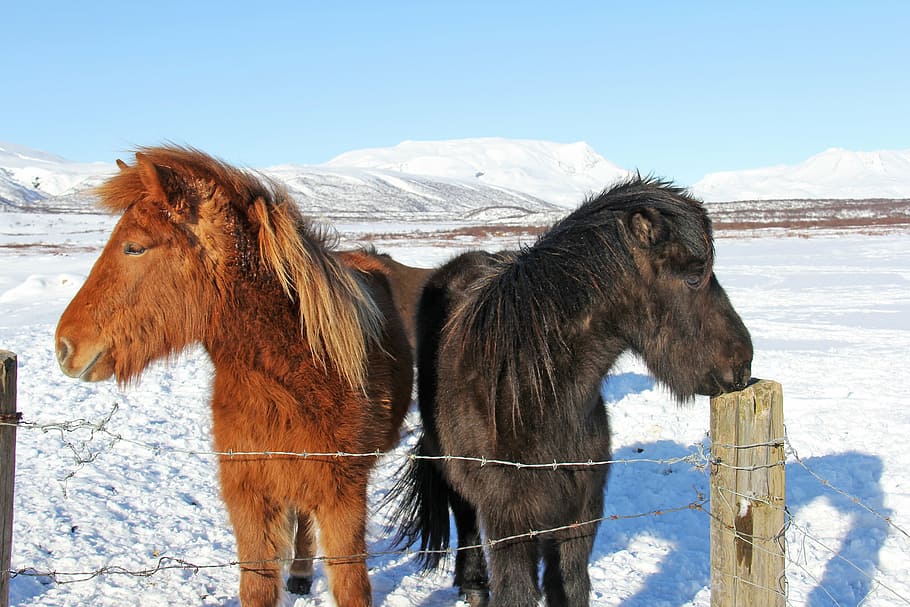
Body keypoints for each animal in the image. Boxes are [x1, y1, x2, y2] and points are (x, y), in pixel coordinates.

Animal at [54, 145, 414, 607]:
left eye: (134, 248)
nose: (64, 346)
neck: (290, 381)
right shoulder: (247, 495)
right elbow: (257, 585)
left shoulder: (342, 495)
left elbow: (352, 585)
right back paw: (299, 574)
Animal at [391, 176, 754, 607]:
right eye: (695, 277)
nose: (743, 365)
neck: (532, 397)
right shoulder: (510, 523)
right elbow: (518, 592)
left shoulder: (580, 516)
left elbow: (569, 584)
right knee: (464, 517)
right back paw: (474, 583)